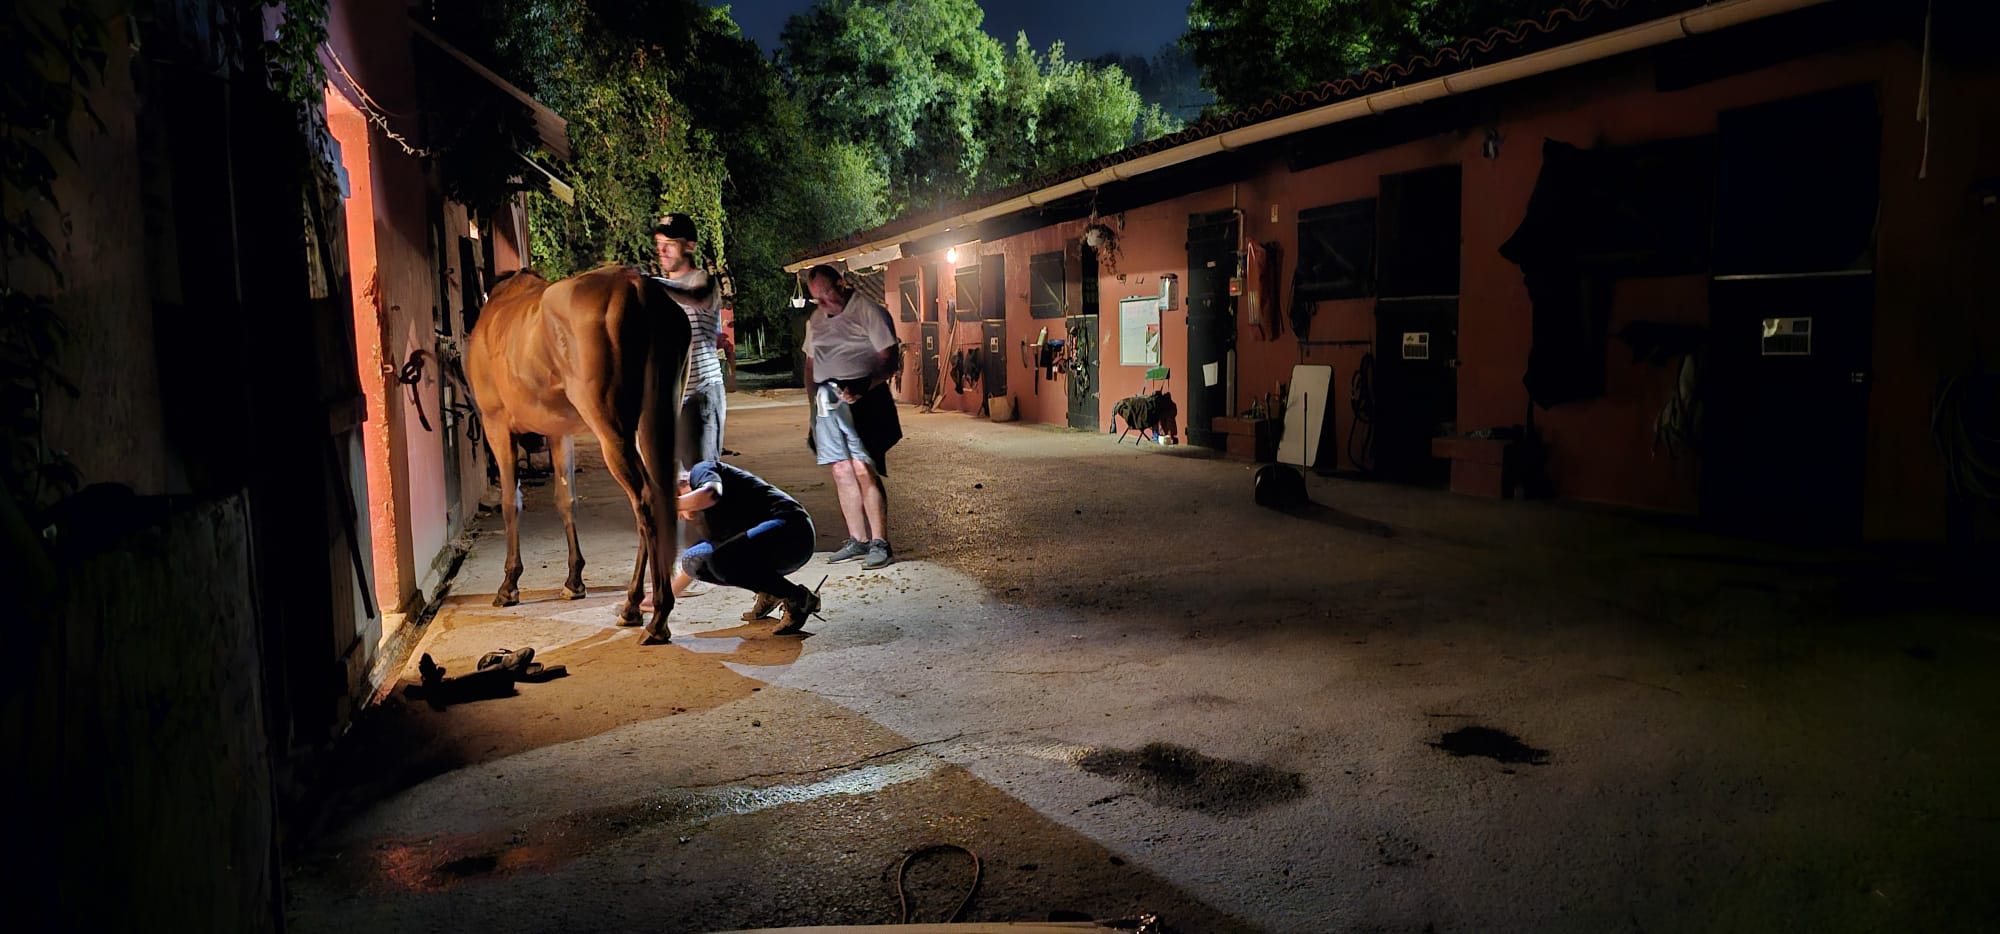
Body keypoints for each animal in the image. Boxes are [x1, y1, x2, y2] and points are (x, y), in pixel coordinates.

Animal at [468, 264, 696, 644]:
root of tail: (637, 287)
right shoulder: (560, 433)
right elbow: (566, 500)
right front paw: (574, 580)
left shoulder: (496, 425)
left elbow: (510, 503)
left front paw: (509, 583)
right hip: (653, 421)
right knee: (659, 498)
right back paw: (633, 605)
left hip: (612, 430)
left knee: (645, 500)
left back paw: (658, 617)